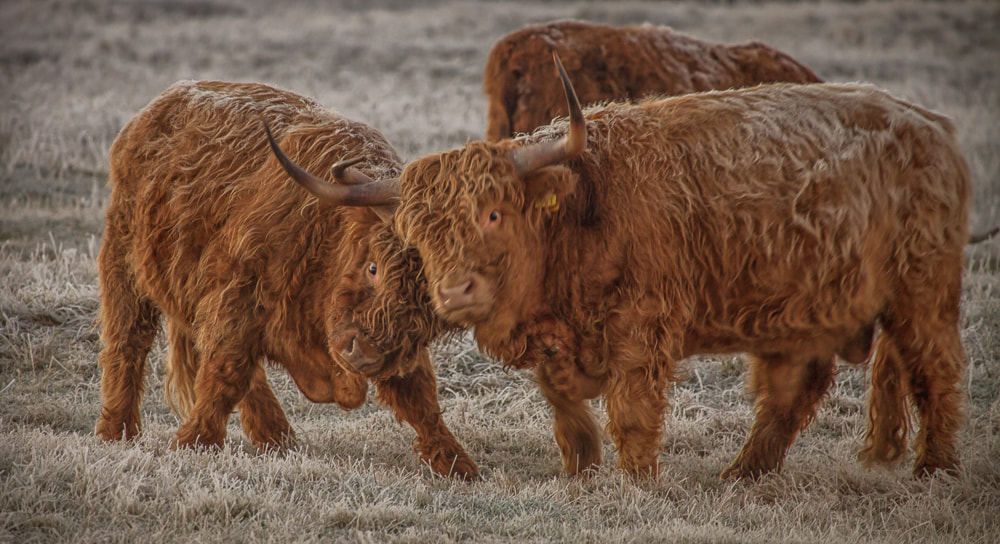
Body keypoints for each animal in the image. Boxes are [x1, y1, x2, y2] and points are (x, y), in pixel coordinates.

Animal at [94, 80, 477, 480]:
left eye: (430, 312)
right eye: (373, 268)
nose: (362, 354)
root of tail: (164, 101)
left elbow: (420, 396)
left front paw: (457, 463)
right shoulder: (236, 295)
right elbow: (224, 373)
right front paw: (194, 442)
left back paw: (276, 437)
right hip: (125, 262)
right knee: (127, 342)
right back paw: (116, 431)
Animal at [290, 56, 969, 480]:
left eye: (493, 215)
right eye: (419, 236)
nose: (456, 291)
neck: (581, 213)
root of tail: (932, 126)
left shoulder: (643, 330)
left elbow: (633, 410)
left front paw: (638, 480)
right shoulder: (560, 341)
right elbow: (563, 404)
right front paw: (582, 469)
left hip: (922, 294)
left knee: (935, 372)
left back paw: (935, 469)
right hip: (808, 314)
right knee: (792, 394)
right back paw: (742, 474)